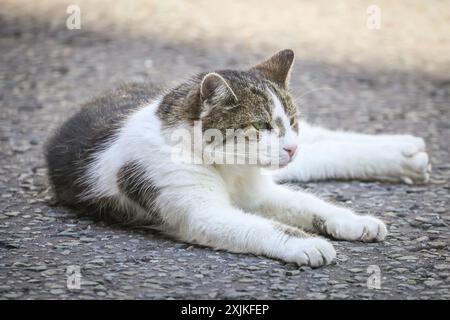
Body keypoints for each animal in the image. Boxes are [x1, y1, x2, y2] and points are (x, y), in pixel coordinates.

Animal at [46, 48, 432, 266]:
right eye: (260, 125)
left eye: (291, 121)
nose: (290, 146)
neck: (228, 168)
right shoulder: (203, 212)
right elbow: (263, 225)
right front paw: (308, 243)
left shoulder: (260, 189)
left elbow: (311, 205)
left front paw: (353, 220)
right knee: (320, 153)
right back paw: (408, 156)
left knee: (322, 141)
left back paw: (406, 149)